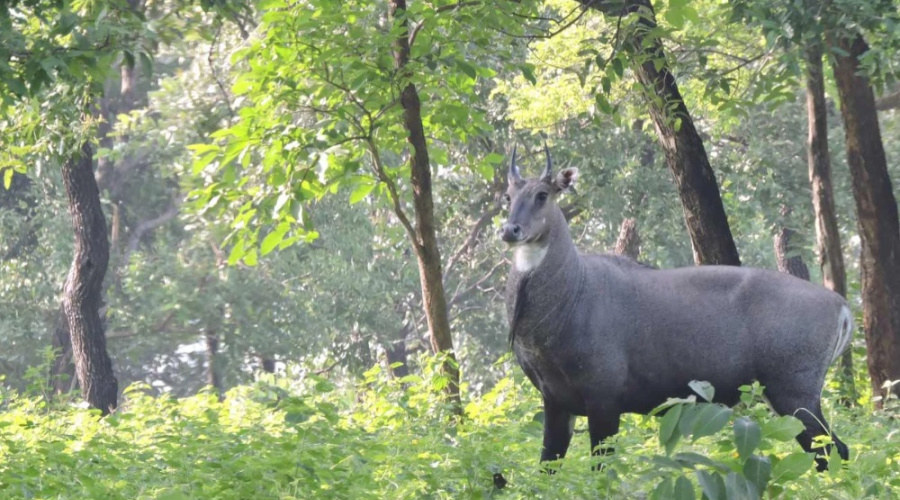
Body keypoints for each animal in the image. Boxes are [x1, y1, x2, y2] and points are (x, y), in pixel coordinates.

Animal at [502, 144, 856, 468]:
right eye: (508, 197)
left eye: (543, 195)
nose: (510, 230)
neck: (574, 291)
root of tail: (841, 306)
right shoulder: (555, 401)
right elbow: (548, 466)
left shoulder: (603, 399)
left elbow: (602, 468)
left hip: (795, 392)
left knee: (833, 450)